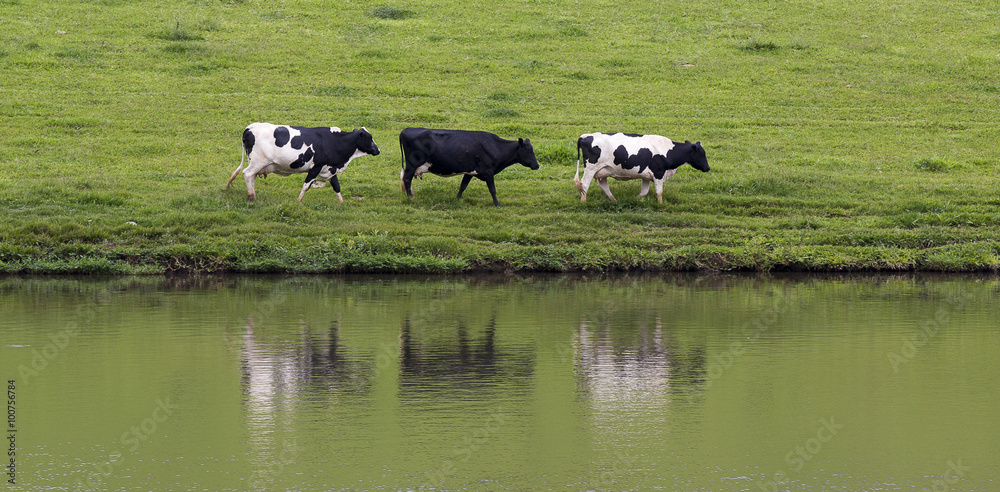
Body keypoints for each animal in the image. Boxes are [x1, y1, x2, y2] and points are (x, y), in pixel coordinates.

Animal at [227, 124, 378, 203]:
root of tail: (250, 127)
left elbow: (337, 186)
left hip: (256, 163)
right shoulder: (316, 167)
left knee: (251, 177)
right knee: (247, 174)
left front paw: (342, 203)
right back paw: (251, 197)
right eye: (369, 138)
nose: (378, 150)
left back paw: (252, 195)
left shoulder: (330, 169)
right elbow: (306, 185)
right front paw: (298, 201)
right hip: (257, 162)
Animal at [398, 128, 540, 207]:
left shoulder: (469, 172)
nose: (537, 165)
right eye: (528, 150)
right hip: (412, 164)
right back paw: (410, 198)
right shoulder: (488, 172)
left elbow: (463, 186)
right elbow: (493, 190)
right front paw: (497, 204)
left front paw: (457, 199)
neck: (496, 147)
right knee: (407, 179)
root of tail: (406, 129)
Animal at [576, 133, 708, 204]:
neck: (668, 150)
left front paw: (635, 200)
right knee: (584, 184)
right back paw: (583, 202)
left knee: (603, 186)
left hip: (603, 171)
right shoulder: (658, 173)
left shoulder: (646, 176)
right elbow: (659, 192)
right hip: (591, 168)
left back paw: (614, 200)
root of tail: (585, 136)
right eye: (702, 153)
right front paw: (661, 204)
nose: (708, 168)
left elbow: (644, 192)